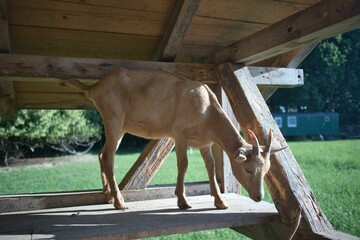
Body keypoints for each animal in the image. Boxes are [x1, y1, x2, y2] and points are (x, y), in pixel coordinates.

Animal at [69, 68, 284, 209]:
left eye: (266, 170)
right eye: (248, 169)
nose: (258, 196)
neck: (207, 111)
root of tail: (95, 87)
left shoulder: (205, 142)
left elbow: (211, 166)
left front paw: (220, 201)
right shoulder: (180, 134)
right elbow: (184, 163)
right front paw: (183, 201)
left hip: (119, 125)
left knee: (101, 154)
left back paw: (108, 197)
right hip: (113, 117)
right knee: (108, 157)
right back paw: (120, 202)